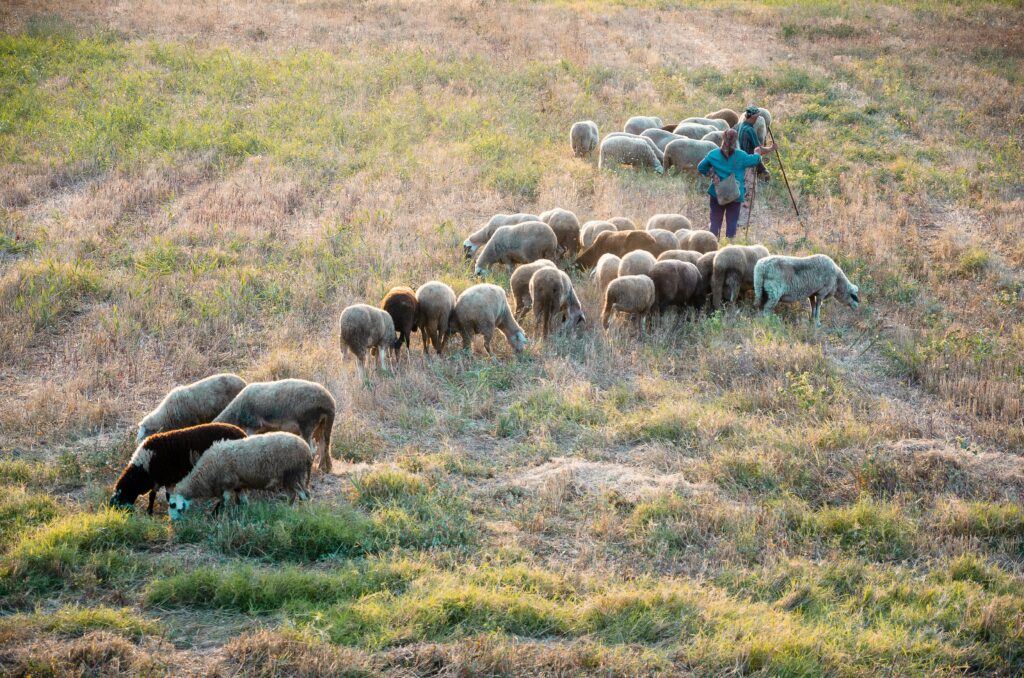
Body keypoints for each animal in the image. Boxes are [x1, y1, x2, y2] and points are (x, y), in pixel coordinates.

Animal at [110, 426, 247, 516]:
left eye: (120, 499)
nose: (119, 515)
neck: (143, 469)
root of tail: (243, 433)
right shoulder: (163, 480)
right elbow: (160, 495)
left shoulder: (163, 478)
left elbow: (153, 495)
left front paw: (150, 511)